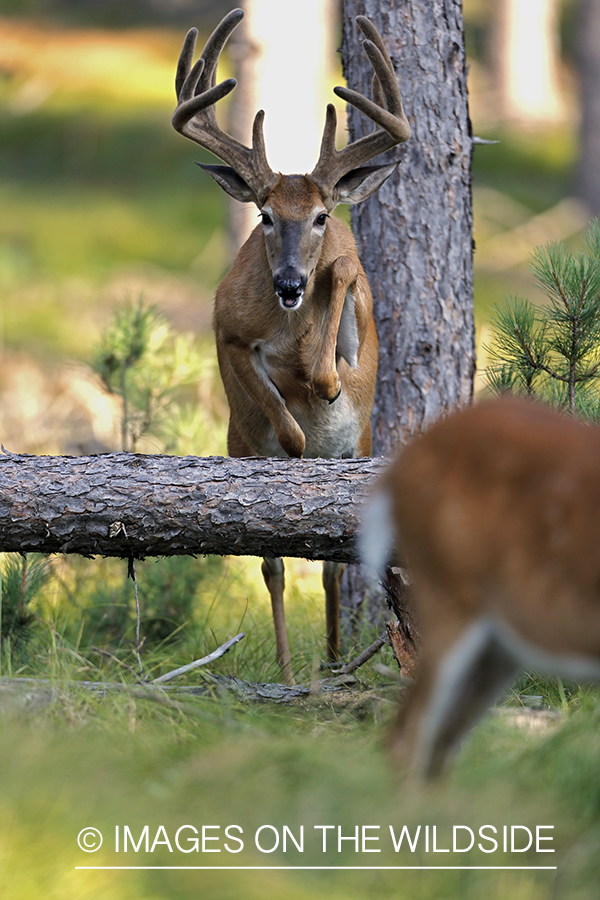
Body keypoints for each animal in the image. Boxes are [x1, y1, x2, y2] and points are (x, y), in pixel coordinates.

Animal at [171, 8, 410, 684]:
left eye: (323, 216)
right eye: (265, 214)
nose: (287, 283)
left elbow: (347, 276)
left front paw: (324, 378)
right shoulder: (226, 330)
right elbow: (275, 404)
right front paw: (300, 416)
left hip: (358, 451)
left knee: (329, 565)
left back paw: (333, 661)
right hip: (238, 445)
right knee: (273, 565)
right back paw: (282, 671)